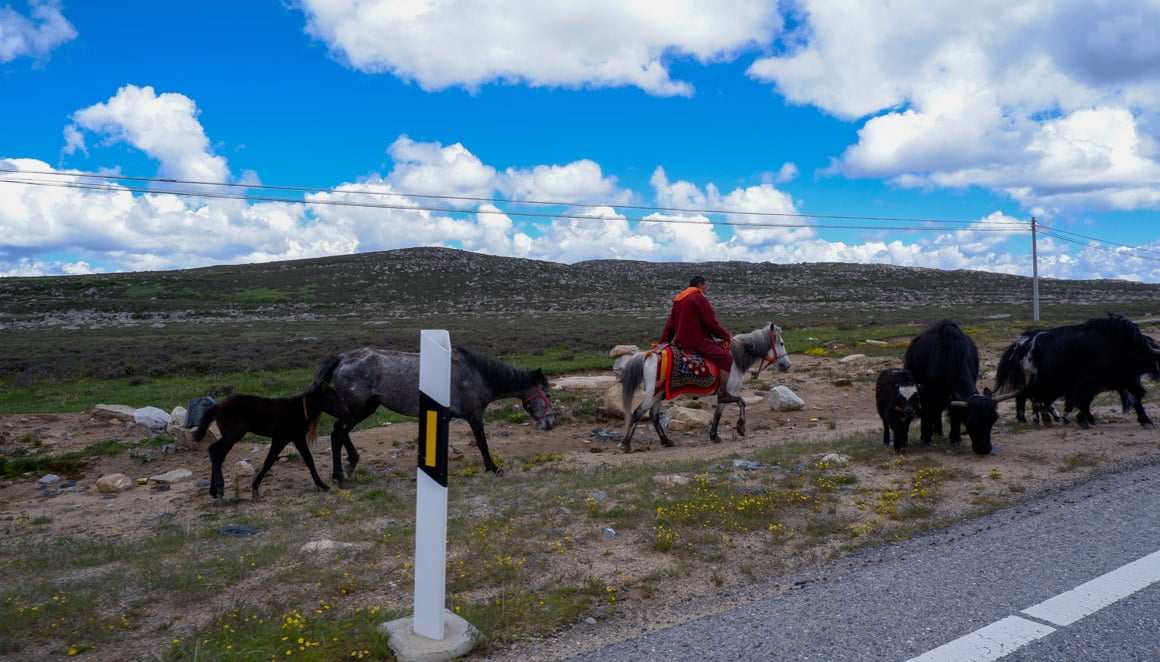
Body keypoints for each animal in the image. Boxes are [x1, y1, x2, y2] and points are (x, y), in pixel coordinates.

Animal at [310, 345, 554, 484]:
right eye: (548, 393)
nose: (551, 422)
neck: (478, 374)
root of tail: (342, 358)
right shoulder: (474, 414)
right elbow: (482, 442)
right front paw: (493, 468)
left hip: (364, 408)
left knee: (341, 432)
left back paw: (351, 462)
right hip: (356, 409)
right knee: (337, 433)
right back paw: (339, 474)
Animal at [621, 324, 793, 454]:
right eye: (782, 343)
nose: (787, 365)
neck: (736, 359)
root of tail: (648, 355)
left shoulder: (724, 395)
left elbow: (718, 414)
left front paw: (714, 436)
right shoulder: (731, 391)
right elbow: (742, 402)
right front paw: (741, 428)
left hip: (659, 393)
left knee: (654, 416)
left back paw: (666, 440)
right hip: (652, 393)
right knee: (637, 413)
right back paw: (627, 444)